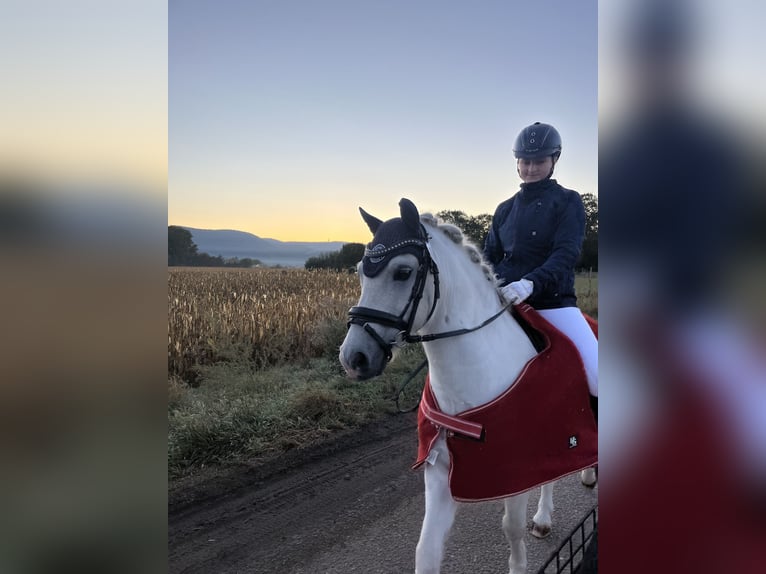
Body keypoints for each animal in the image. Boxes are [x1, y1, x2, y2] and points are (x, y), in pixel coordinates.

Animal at [342, 199, 600, 574]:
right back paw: (546, 516)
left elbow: (511, 527)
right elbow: (426, 551)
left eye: (403, 272)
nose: (354, 357)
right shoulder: (439, 470)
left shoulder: (517, 471)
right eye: (361, 271)